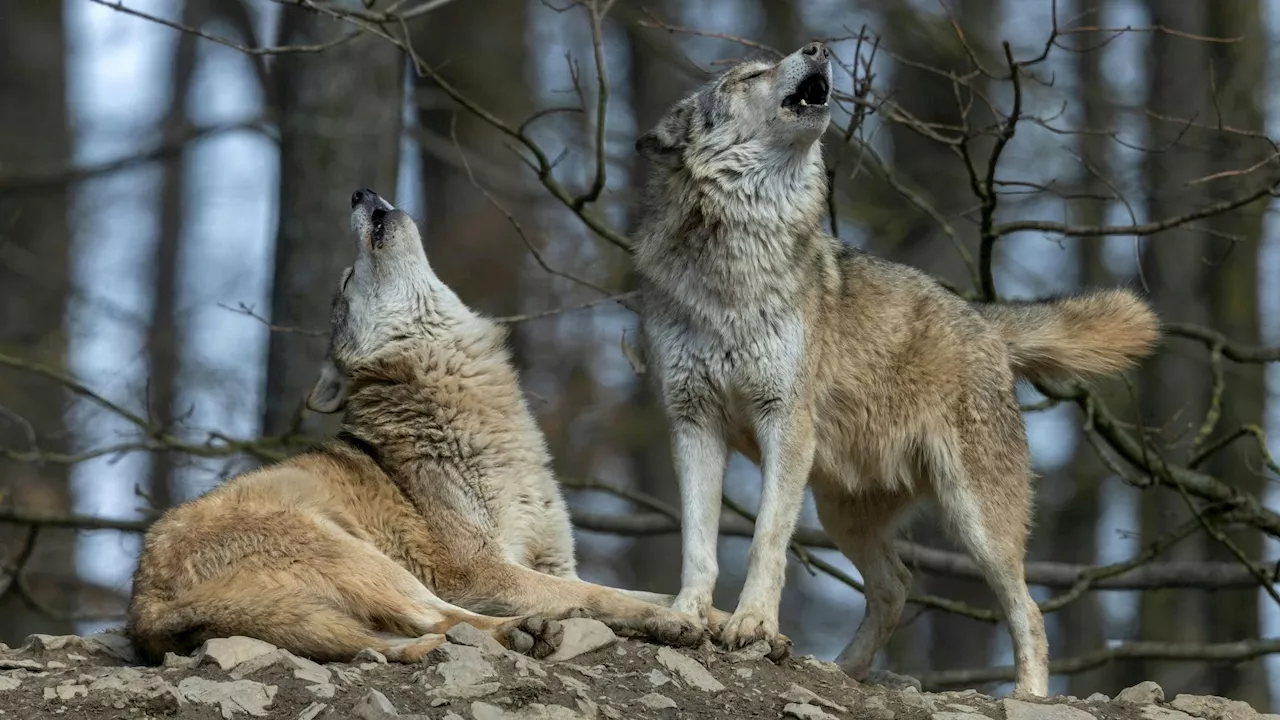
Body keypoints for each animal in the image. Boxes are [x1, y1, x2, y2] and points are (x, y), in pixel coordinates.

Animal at [128, 188, 711, 661]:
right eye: (347, 279)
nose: (360, 191)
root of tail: (144, 609)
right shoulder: (481, 570)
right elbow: (601, 595)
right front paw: (667, 619)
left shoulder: (555, 562)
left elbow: (636, 591)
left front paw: (710, 617)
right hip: (362, 556)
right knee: (444, 618)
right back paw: (523, 631)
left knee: (395, 637)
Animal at [629, 41, 1162, 691]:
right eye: (750, 75)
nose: (818, 47)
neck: (734, 262)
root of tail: (985, 318)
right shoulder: (693, 422)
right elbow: (698, 544)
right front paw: (685, 615)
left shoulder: (785, 422)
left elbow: (765, 540)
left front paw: (751, 624)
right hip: (841, 512)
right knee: (897, 585)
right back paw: (844, 670)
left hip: (975, 520)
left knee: (1028, 611)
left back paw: (1028, 694)